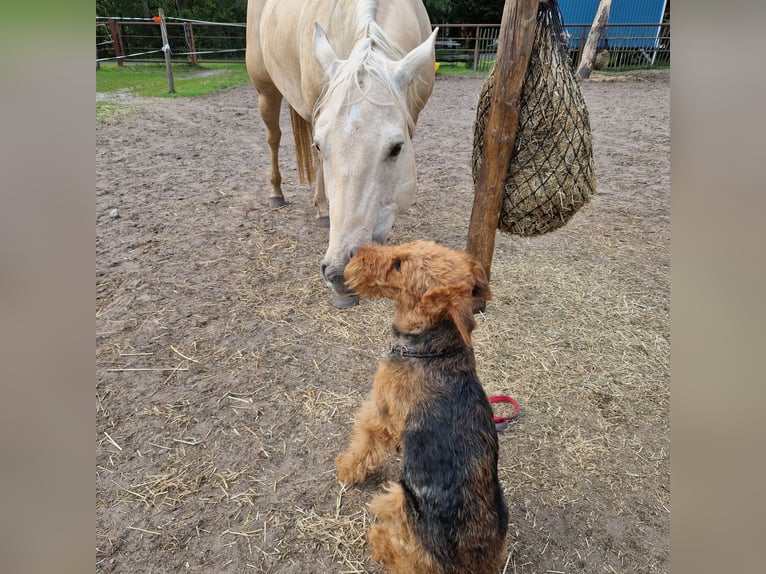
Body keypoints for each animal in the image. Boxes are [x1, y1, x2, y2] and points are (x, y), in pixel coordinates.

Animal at [246, 0, 438, 308]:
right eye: (319, 145)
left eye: (397, 148)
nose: (338, 273)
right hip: (266, 90)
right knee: (273, 138)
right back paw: (280, 194)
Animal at [338, 241, 510, 574]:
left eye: (399, 265)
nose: (353, 252)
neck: (435, 350)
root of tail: (469, 568)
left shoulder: (380, 412)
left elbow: (363, 444)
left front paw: (345, 469)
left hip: (397, 497)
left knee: (399, 555)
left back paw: (377, 538)